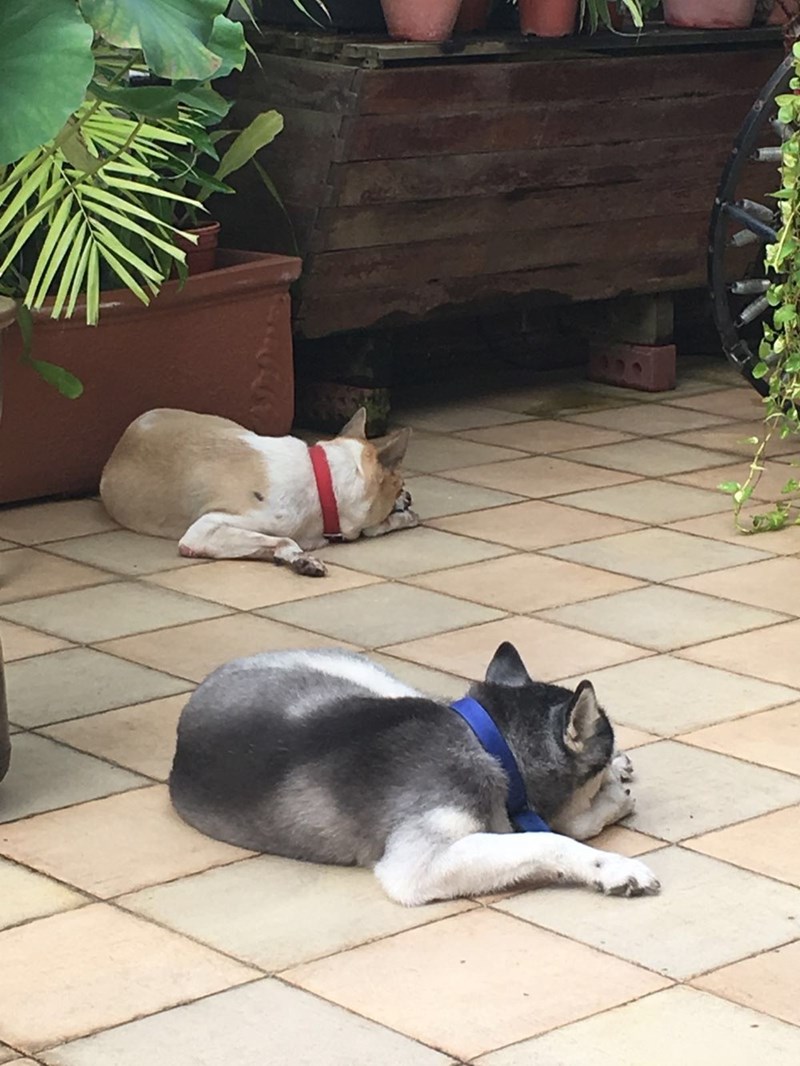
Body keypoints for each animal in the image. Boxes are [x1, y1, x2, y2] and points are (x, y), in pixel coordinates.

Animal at [100, 408, 418, 577]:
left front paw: (299, 559)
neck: (322, 481)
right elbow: (283, 539)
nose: (410, 498)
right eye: (400, 487)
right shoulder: (203, 532)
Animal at [169, 643, 660, 905]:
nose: (612, 769)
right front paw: (613, 861)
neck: (489, 743)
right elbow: (550, 839)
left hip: (384, 687)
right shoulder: (418, 865)